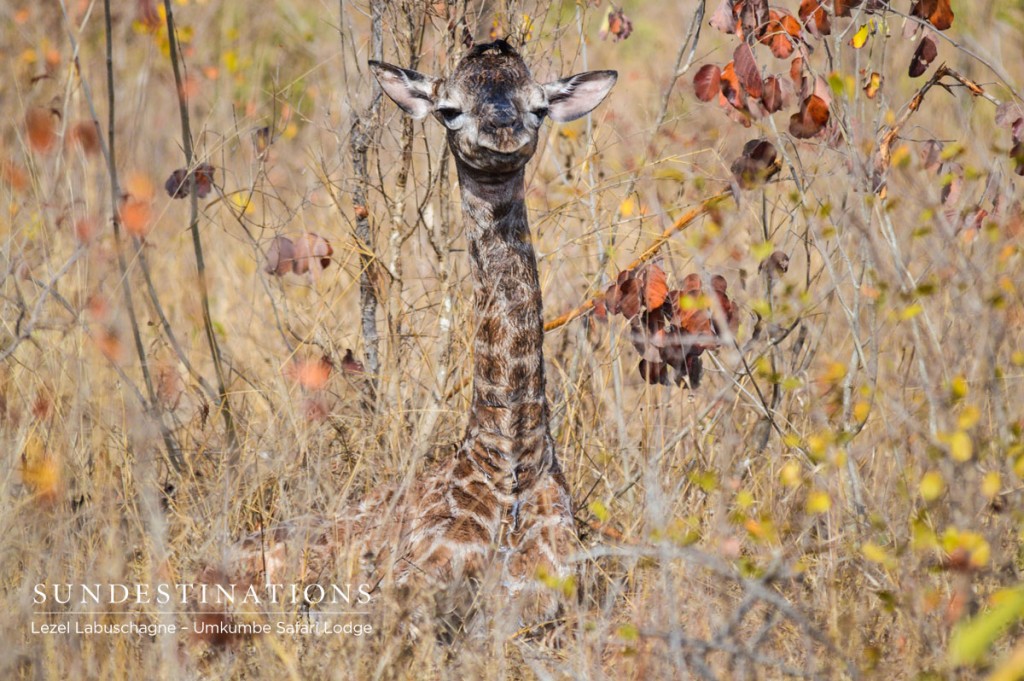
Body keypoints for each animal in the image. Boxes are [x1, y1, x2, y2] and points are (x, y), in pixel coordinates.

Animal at [203, 38, 610, 630]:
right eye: (449, 109)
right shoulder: (401, 594)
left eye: (538, 107)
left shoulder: (559, 595)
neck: (512, 464)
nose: (503, 135)